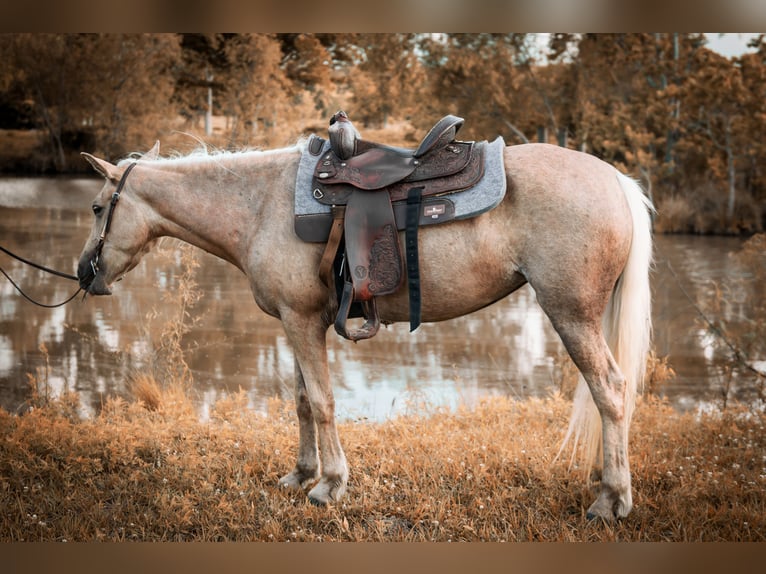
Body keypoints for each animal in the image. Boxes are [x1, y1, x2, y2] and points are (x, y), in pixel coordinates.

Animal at [76, 137, 653, 521]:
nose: (85, 272)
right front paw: (301, 474)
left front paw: (330, 485)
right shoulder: (297, 321)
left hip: (572, 315)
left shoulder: (302, 321)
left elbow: (323, 402)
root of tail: (614, 179)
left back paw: (612, 499)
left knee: (611, 391)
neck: (259, 204)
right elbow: (302, 401)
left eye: (99, 207)